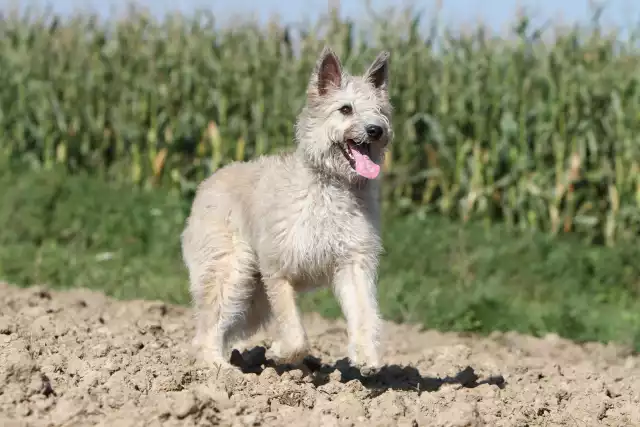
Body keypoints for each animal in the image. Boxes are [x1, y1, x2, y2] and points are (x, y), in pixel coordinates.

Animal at [178, 45, 392, 370]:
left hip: (252, 297)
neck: (331, 187)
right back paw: (218, 368)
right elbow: (296, 333)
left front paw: (367, 356)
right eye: (346, 109)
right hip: (231, 272)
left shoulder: (353, 263)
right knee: (207, 327)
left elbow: (365, 312)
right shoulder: (277, 270)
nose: (376, 130)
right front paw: (281, 352)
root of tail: (209, 180)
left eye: (380, 111)